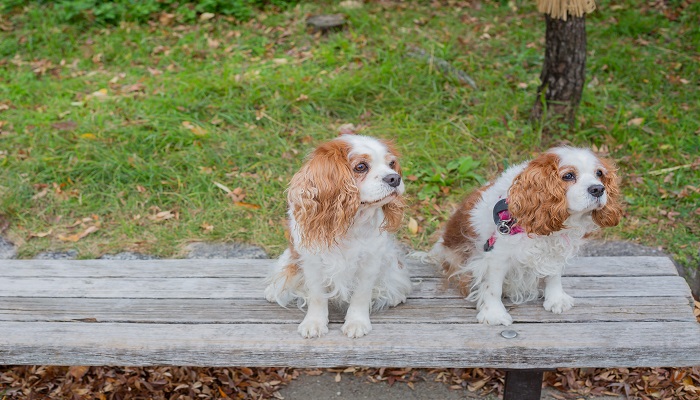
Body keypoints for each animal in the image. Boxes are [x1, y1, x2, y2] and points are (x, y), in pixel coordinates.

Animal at [266, 134, 412, 338]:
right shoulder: (312, 262)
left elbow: (361, 294)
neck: (351, 221)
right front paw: (314, 322)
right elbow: (317, 296)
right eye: (361, 166)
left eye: (391, 163)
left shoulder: (370, 261)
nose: (395, 177)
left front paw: (357, 322)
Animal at [430, 147, 620, 324]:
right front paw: (494, 314)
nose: (598, 189)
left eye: (599, 173)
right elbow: (493, 287)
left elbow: (554, 275)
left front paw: (556, 299)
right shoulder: (497, 256)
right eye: (568, 176)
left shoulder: (555, 250)